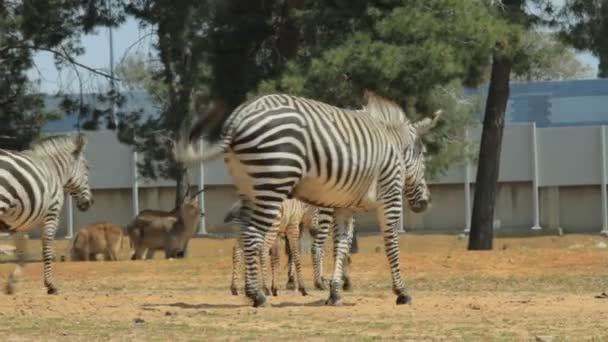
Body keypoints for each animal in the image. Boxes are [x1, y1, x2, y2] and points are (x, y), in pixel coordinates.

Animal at [0, 134, 94, 294]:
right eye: (87, 168)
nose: (89, 203)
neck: (54, 170)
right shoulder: (51, 214)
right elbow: (47, 250)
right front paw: (50, 285)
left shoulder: (18, 223)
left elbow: (23, 253)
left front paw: (12, 283)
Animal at [173, 91, 440, 308]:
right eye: (424, 155)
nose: (426, 203)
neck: (393, 142)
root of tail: (237, 120)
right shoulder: (390, 194)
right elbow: (391, 244)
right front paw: (402, 292)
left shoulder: (344, 206)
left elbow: (341, 245)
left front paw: (335, 292)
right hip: (273, 182)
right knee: (253, 236)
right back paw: (258, 295)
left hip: (249, 188)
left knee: (244, 238)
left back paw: (251, 291)